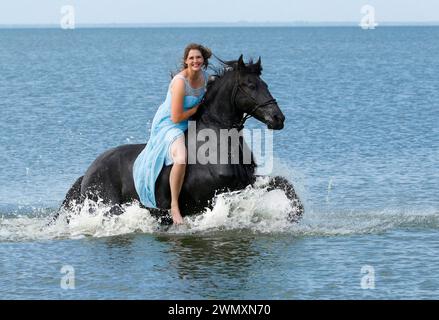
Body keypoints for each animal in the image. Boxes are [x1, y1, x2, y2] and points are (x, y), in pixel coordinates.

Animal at [58, 55, 304, 224]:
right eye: (251, 86)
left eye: (265, 85)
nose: (278, 118)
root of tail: (87, 173)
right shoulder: (218, 192)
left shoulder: (248, 181)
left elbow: (281, 182)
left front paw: (296, 212)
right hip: (107, 205)